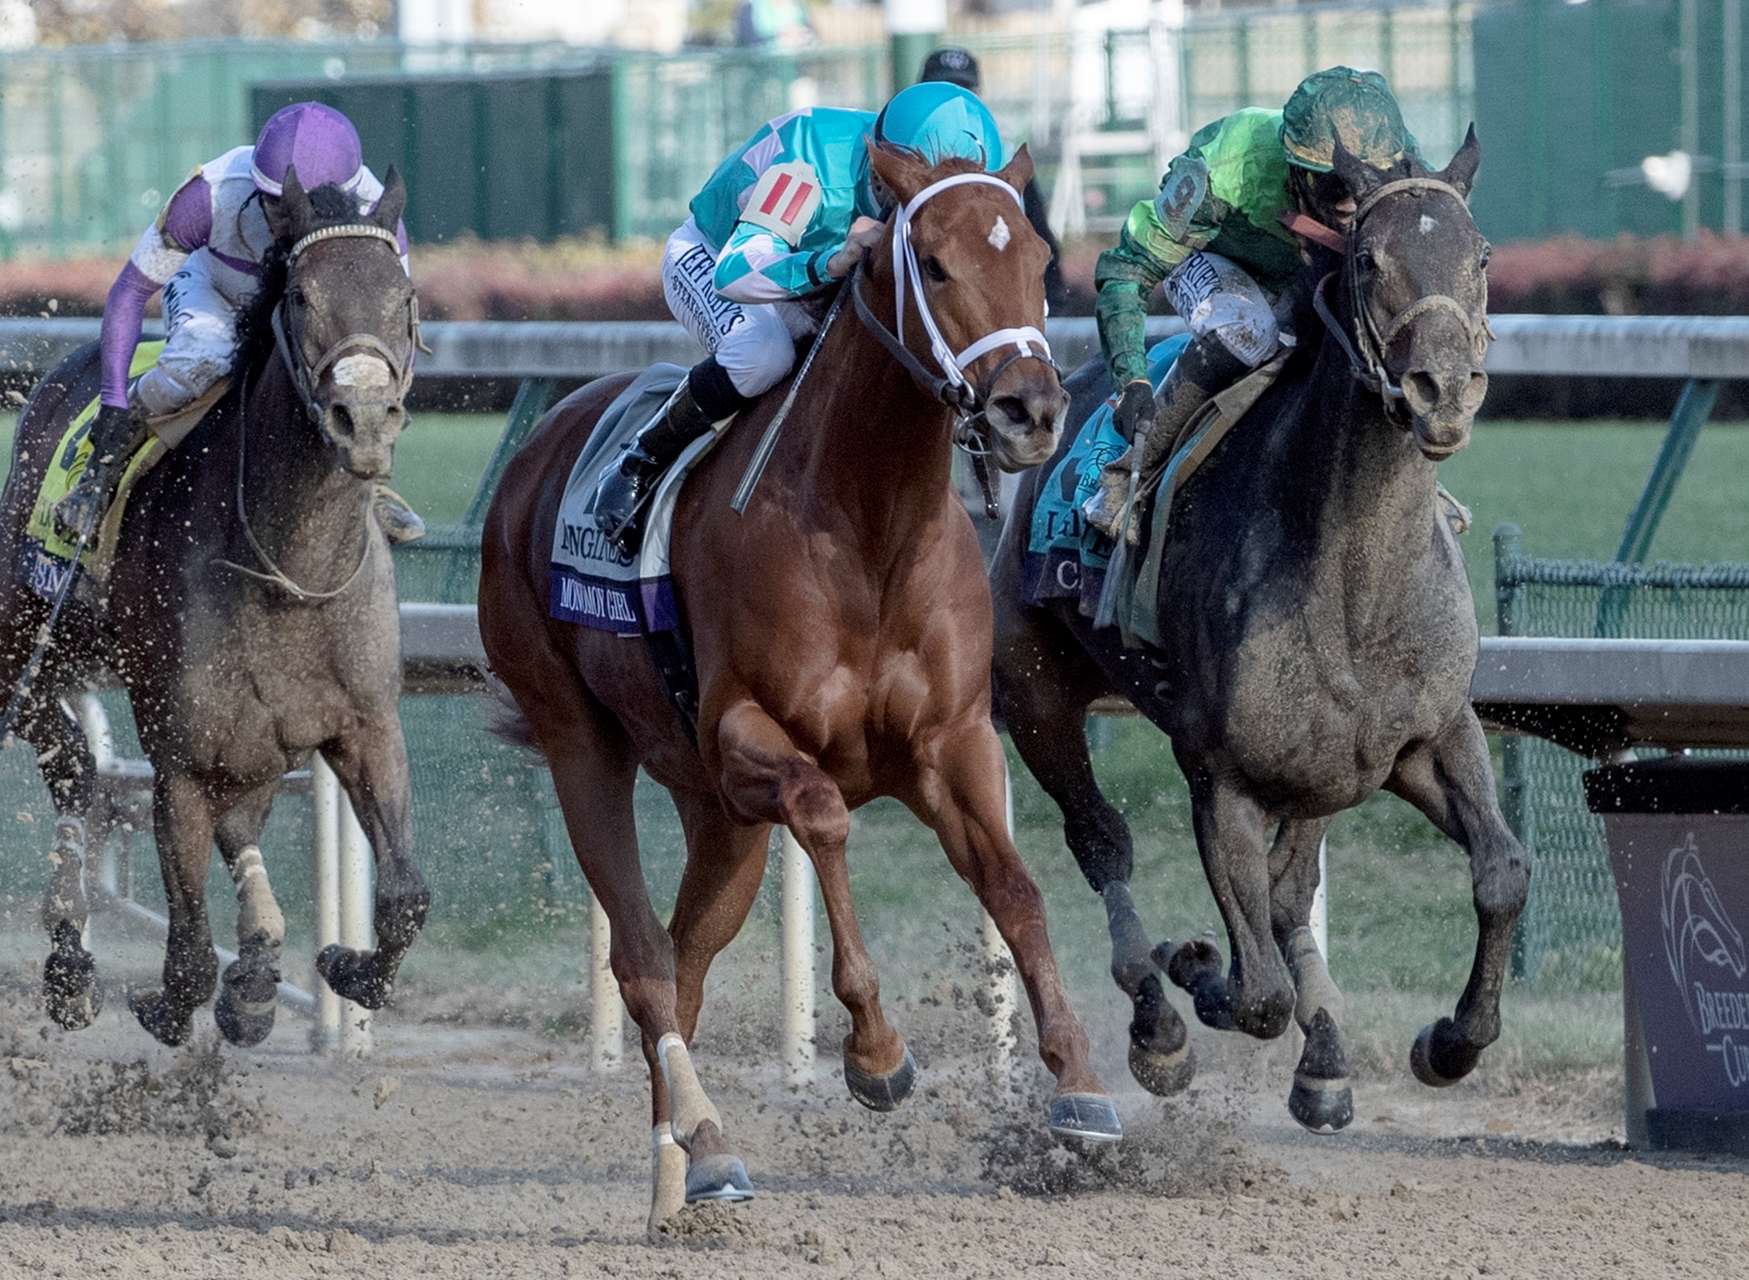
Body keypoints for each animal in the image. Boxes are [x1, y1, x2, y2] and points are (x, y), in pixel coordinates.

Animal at [0, 169, 426, 1042]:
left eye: (402, 295)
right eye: (299, 295)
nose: (364, 419)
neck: (286, 569)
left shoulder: (365, 724)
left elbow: (405, 897)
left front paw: (341, 967)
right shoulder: (182, 757)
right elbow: (191, 953)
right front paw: (168, 1002)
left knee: (217, 816)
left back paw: (256, 967)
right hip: (25, 639)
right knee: (73, 765)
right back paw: (71, 960)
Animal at [479, 142, 1119, 1231]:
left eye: (1041, 257)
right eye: (934, 265)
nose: (1031, 411)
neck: (870, 526)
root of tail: (535, 449)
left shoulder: (953, 742)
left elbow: (1016, 889)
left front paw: (1079, 1083)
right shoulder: (747, 735)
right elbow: (823, 814)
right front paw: (875, 1051)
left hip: (717, 817)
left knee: (686, 963)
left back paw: (687, 1173)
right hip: (583, 747)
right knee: (643, 964)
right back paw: (710, 1143)